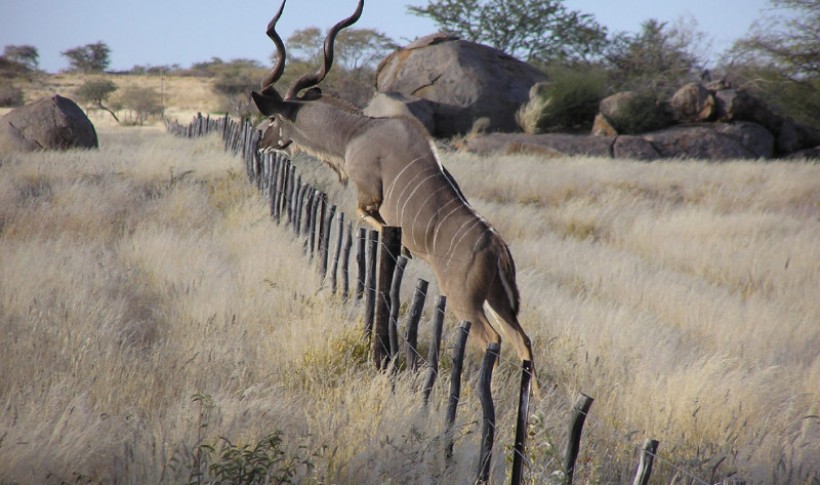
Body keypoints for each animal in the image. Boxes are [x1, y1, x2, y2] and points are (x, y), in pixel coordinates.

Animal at [253, 0, 540, 382]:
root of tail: (496, 247)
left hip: (466, 301)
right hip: (499, 302)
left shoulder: (368, 198)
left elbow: (371, 220)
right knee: (523, 341)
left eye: (273, 119)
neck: (355, 133)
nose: (261, 141)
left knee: (491, 339)